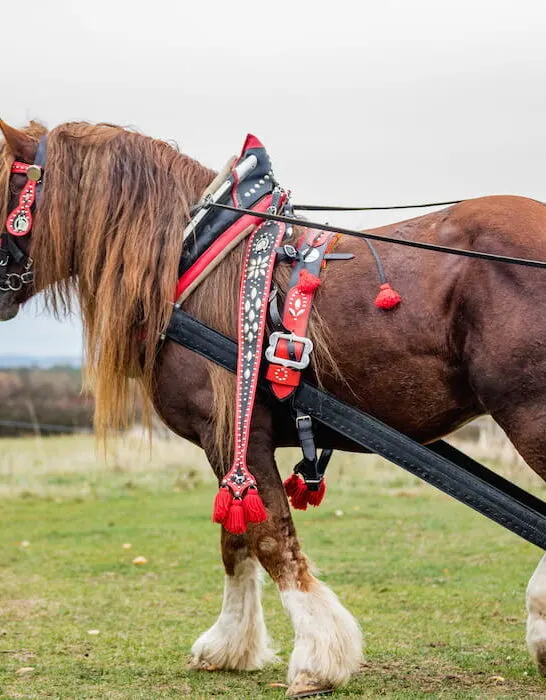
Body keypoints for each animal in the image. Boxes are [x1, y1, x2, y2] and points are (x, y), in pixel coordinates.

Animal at [3, 118, 546, 697]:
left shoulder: (233, 430)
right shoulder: (229, 437)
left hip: (529, 415)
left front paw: (316, 658)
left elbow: (269, 539)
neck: (192, 253)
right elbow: (236, 539)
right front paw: (228, 644)